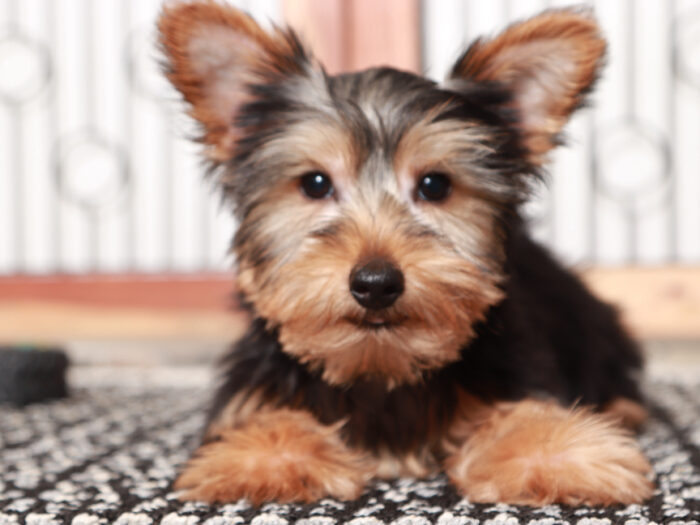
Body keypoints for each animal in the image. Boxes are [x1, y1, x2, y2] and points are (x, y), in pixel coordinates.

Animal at [161, 2, 652, 506]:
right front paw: (268, 457)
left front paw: (558, 455)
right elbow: (267, 423)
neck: (380, 369)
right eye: (315, 184)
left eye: (434, 185)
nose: (376, 283)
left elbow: (525, 417)